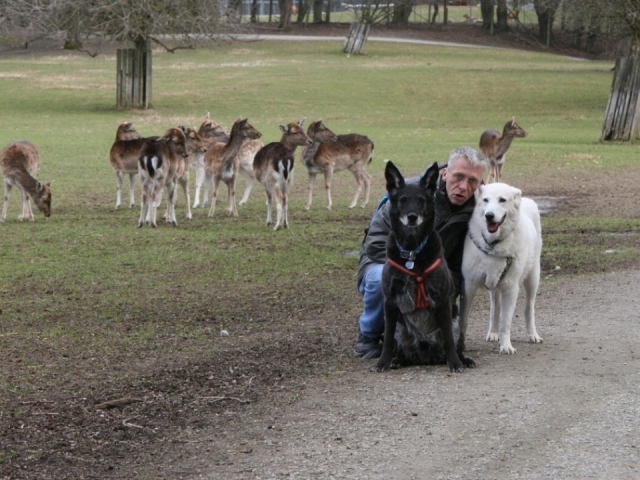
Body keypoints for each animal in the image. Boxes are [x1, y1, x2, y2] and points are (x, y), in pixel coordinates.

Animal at [458, 182, 544, 354]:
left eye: (502, 200)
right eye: (485, 200)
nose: (489, 215)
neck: (493, 245)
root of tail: (526, 200)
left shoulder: (510, 289)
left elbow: (506, 322)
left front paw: (506, 346)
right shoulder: (469, 286)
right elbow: (463, 318)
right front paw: (459, 344)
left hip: (533, 278)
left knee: (529, 308)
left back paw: (532, 334)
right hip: (495, 285)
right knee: (495, 308)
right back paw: (492, 333)